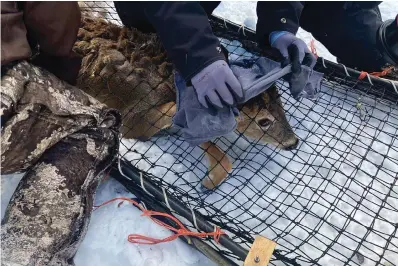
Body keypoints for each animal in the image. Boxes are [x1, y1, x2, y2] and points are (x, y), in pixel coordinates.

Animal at [74, 15, 298, 190]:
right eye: (264, 121)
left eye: (282, 107)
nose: (293, 142)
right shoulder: (133, 118)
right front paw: (207, 183)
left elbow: (219, 154)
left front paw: (209, 182)